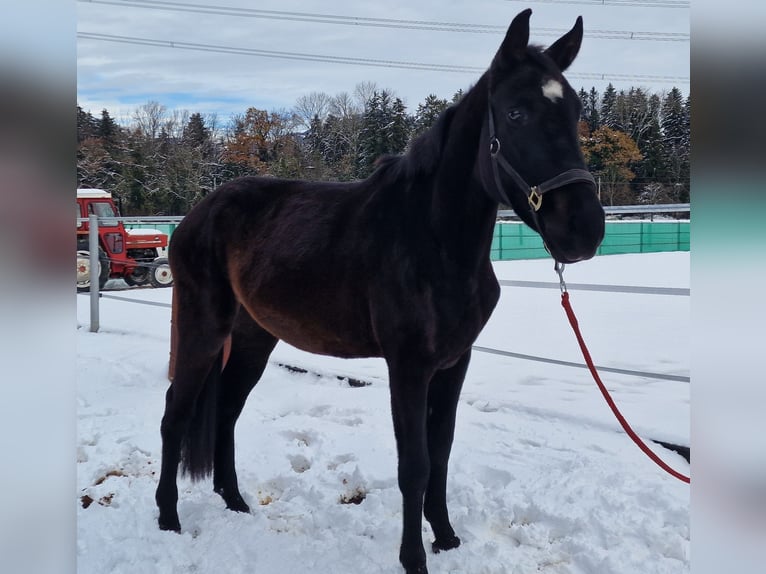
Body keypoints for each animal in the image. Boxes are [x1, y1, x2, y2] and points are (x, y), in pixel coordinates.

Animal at [156, 10, 608, 574]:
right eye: (516, 113)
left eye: (574, 111)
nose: (584, 229)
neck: (434, 241)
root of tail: (197, 215)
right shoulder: (408, 366)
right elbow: (414, 464)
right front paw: (414, 558)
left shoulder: (454, 363)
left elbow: (441, 452)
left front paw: (447, 537)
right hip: (203, 328)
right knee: (175, 414)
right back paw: (168, 519)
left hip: (254, 337)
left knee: (227, 412)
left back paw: (235, 501)